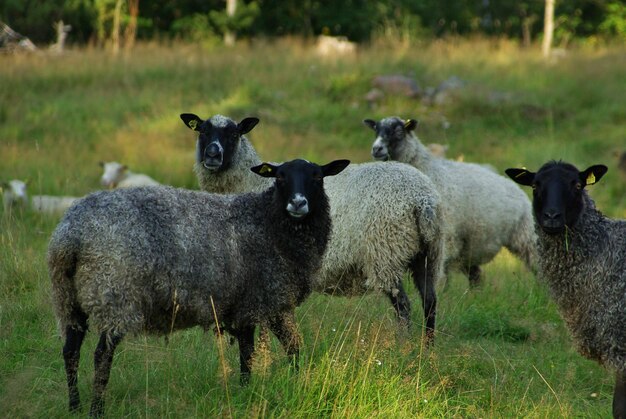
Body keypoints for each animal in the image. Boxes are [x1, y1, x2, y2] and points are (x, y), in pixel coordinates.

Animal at [47, 159, 352, 418]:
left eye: (317, 177)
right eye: (280, 177)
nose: (298, 203)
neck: (268, 221)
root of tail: (71, 235)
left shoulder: (248, 303)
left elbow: (269, 348)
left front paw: (266, 386)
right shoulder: (264, 298)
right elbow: (268, 350)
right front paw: (282, 385)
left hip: (69, 298)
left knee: (70, 351)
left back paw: (74, 406)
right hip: (114, 293)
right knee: (101, 355)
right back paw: (95, 410)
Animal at [178, 113, 446, 342]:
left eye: (234, 134)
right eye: (202, 132)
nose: (213, 155)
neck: (250, 184)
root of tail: (423, 199)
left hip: (386, 251)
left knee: (403, 305)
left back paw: (404, 347)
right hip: (428, 253)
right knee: (430, 302)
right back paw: (426, 350)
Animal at [360, 118, 536, 288]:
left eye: (398, 131)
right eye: (376, 129)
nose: (376, 149)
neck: (426, 169)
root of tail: (514, 186)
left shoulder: (445, 238)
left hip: (525, 236)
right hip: (469, 246)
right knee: (477, 276)